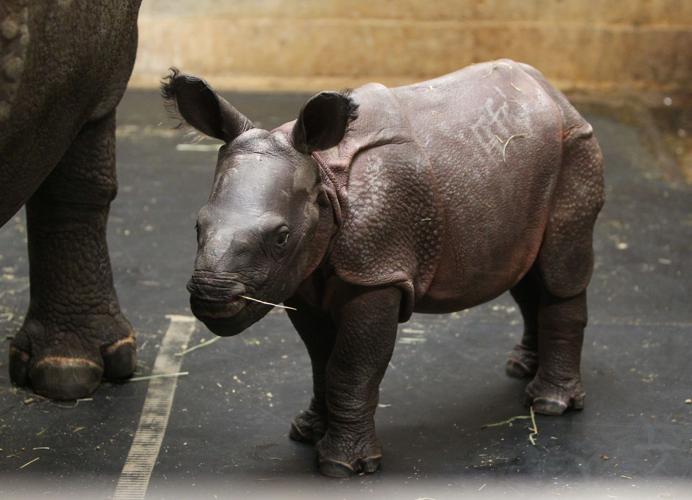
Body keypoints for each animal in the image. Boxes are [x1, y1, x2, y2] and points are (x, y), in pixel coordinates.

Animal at [162, 59, 605, 477]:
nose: (211, 295)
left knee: (559, 271)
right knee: (525, 273)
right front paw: (307, 431)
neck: (324, 176)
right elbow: (320, 360)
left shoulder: (376, 273)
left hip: (575, 149)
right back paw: (521, 368)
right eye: (198, 225)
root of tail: (551, 91)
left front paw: (342, 466)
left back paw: (549, 403)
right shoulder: (303, 278)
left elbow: (351, 367)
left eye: (282, 237)